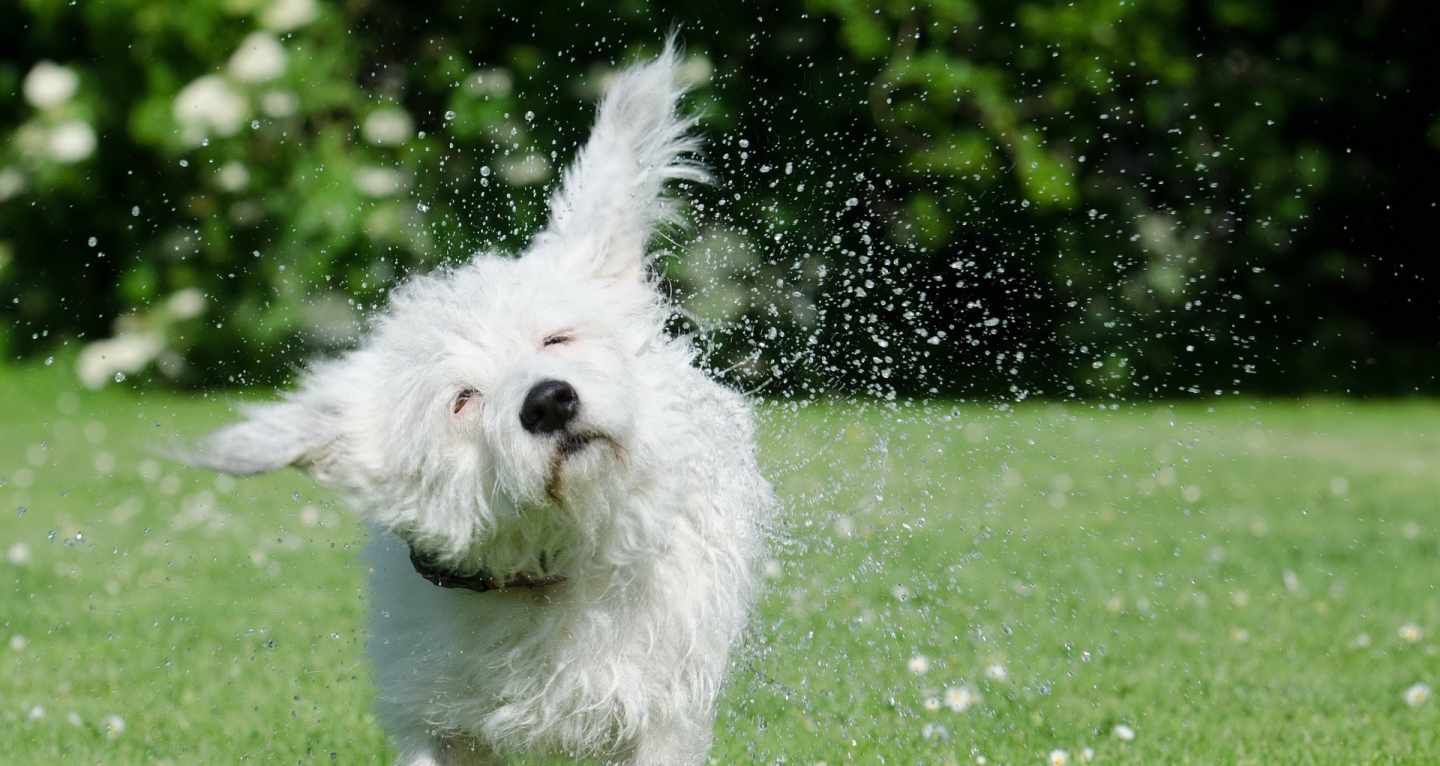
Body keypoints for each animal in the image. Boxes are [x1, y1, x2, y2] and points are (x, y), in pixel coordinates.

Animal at [194, 43, 777, 766]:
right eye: (463, 401)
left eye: (556, 338)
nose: (549, 401)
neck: (547, 572)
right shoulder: (436, 719)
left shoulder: (660, 712)